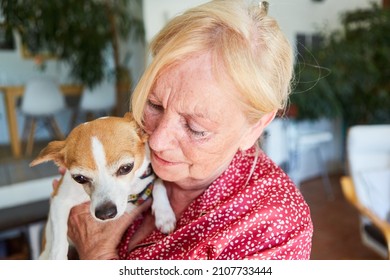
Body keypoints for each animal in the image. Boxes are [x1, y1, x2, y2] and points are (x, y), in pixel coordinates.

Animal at [30, 112, 175, 260]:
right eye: (79, 178)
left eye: (126, 168)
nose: (105, 213)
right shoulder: (59, 199)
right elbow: (59, 236)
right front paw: (57, 257)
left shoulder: (149, 174)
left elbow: (159, 182)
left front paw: (164, 213)